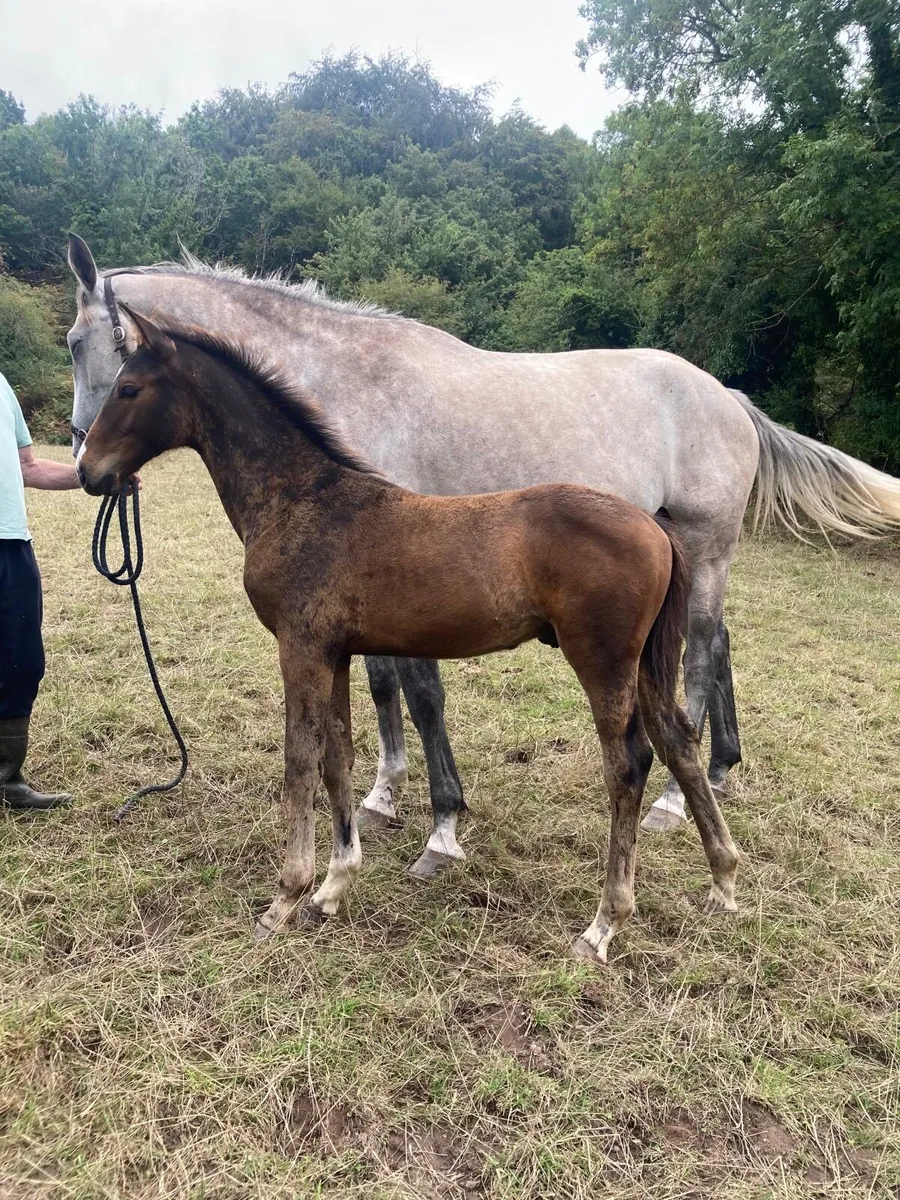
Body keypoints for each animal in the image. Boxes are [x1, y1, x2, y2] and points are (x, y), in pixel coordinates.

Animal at [65, 236, 900, 867]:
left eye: (82, 348)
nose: (83, 464)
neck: (348, 382)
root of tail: (729, 397)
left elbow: (422, 692)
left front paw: (442, 829)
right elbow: (383, 685)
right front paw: (383, 796)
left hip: (705, 543)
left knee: (698, 655)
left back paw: (672, 798)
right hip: (691, 556)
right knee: (718, 643)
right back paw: (722, 768)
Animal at [75, 306, 741, 965]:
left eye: (128, 388)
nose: (87, 470)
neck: (302, 499)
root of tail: (656, 530)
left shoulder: (300, 647)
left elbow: (300, 759)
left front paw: (285, 899)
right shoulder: (336, 653)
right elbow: (338, 757)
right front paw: (332, 887)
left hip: (603, 661)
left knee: (629, 763)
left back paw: (604, 925)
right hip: (645, 662)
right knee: (680, 739)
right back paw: (723, 880)